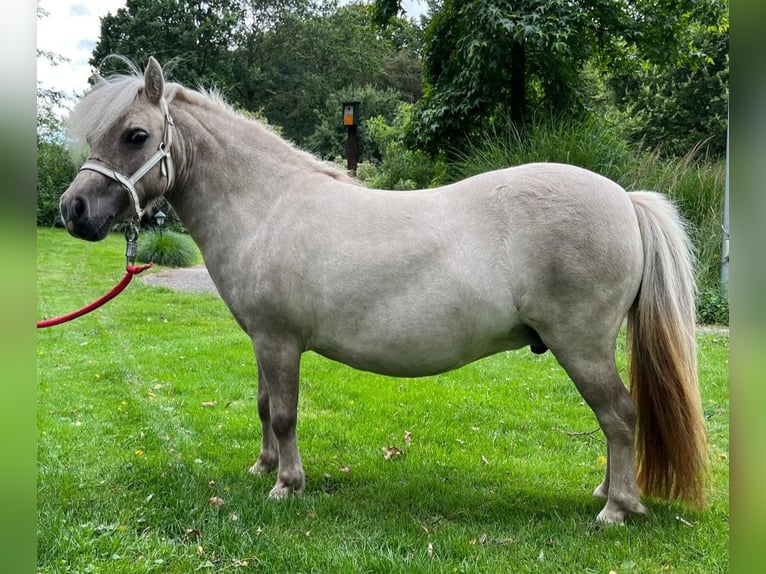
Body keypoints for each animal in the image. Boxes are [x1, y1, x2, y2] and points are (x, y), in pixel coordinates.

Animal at [58, 58, 708, 528]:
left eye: (136, 135)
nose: (74, 209)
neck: (267, 204)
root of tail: (624, 198)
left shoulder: (279, 341)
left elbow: (286, 413)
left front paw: (287, 486)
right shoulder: (263, 342)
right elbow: (264, 406)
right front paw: (262, 468)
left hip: (582, 346)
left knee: (619, 415)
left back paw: (616, 509)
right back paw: (608, 491)